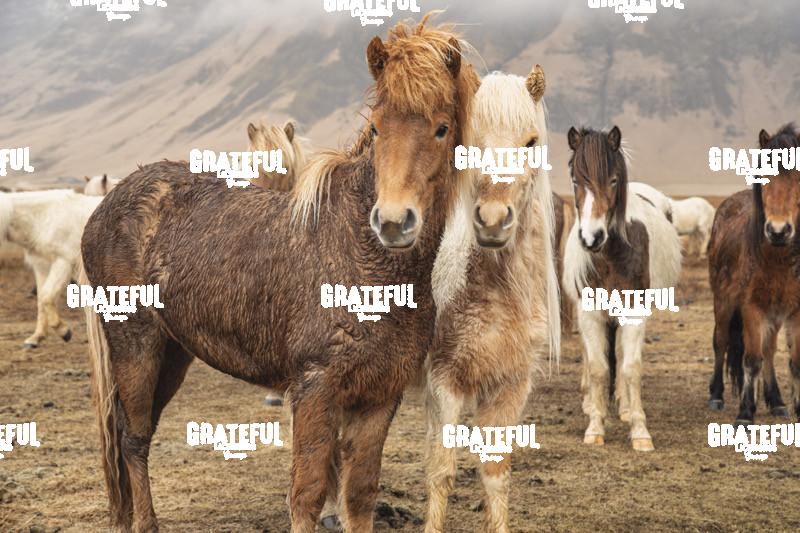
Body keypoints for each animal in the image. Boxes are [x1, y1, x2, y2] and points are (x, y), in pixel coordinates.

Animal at [0, 189, 103, 347]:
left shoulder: (62, 262)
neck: (42, 219)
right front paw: (36, 338)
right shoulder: (41, 266)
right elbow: (41, 299)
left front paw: (64, 331)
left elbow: (47, 297)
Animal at [80, 16, 479, 533]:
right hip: (136, 345)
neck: (360, 253)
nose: (393, 222)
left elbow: (359, 494)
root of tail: (107, 204)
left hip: (173, 353)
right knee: (133, 437)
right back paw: (145, 523)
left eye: (442, 128)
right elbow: (307, 493)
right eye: (376, 128)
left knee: (133, 432)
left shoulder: (378, 397)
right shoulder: (314, 389)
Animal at [424, 67, 560, 533]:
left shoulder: (510, 387)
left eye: (531, 141)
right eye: (471, 143)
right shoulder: (445, 383)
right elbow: (441, 472)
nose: (494, 221)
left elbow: (496, 473)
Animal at [563, 126, 681, 451]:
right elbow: (598, 367)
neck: (610, 255)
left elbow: (630, 367)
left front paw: (640, 431)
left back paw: (625, 408)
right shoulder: (589, 313)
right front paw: (595, 426)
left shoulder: (634, 312)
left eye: (614, 180)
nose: (592, 237)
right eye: (576, 180)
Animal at [707, 123, 800, 423]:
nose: (779, 231)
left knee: (769, 351)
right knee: (721, 342)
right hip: (723, 303)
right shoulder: (751, 307)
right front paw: (746, 412)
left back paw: (776, 401)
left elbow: (793, 361)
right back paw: (716, 396)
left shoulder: (793, 311)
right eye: (765, 176)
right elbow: (751, 360)